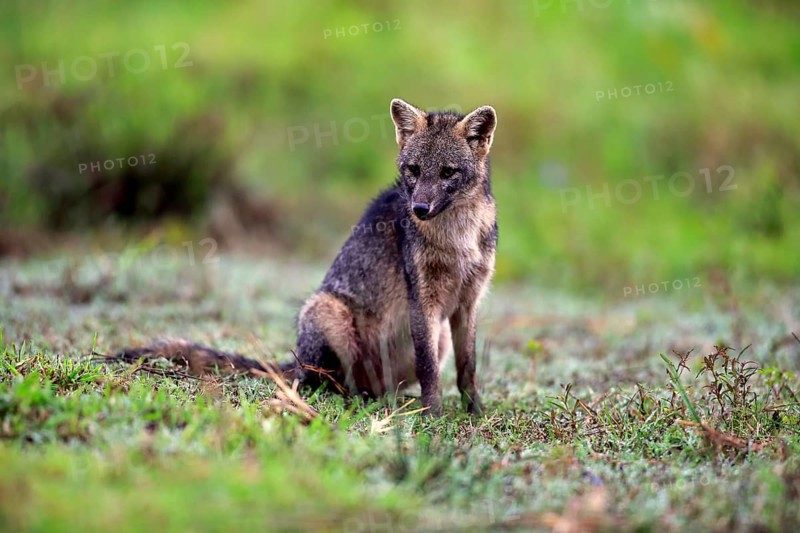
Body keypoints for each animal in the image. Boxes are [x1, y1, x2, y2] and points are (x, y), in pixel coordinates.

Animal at [115, 98, 498, 416]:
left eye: (448, 172)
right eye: (414, 170)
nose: (419, 209)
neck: (457, 241)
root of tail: (297, 361)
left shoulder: (469, 302)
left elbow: (468, 368)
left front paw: (474, 411)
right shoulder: (423, 301)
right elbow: (429, 370)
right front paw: (433, 415)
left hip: (434, 337)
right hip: (328, 315)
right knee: (329, 385)